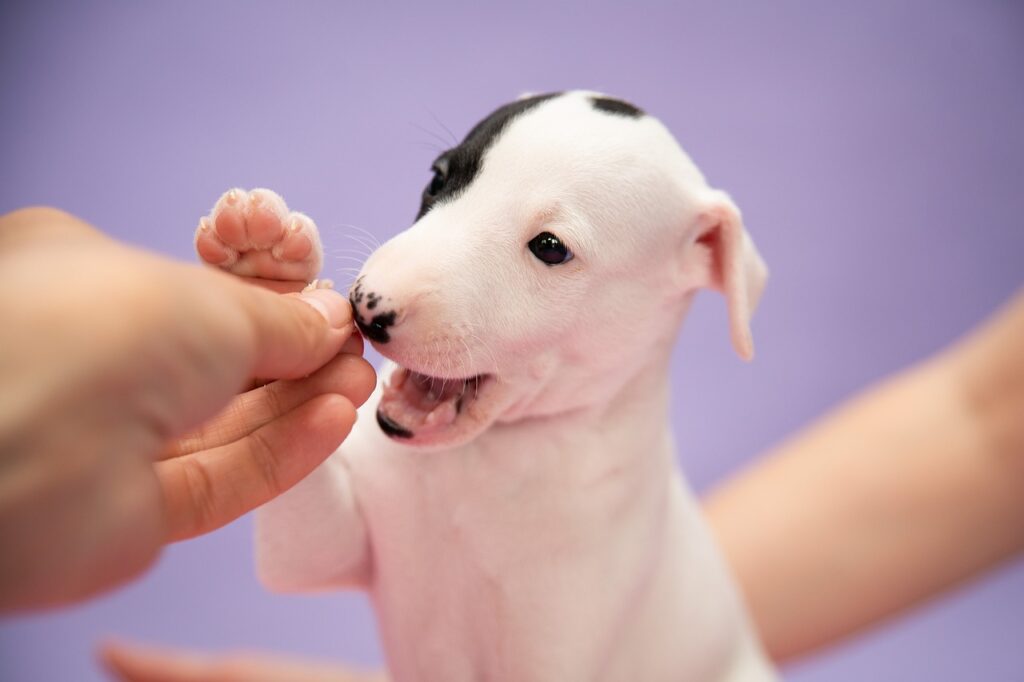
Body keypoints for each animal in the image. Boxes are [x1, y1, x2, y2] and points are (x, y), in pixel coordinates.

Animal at [197, 91, 774, 679]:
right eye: (438, 176)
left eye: (551, 247)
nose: (365, 310)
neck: (475, 469)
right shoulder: (326, 543)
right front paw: (262, 259)